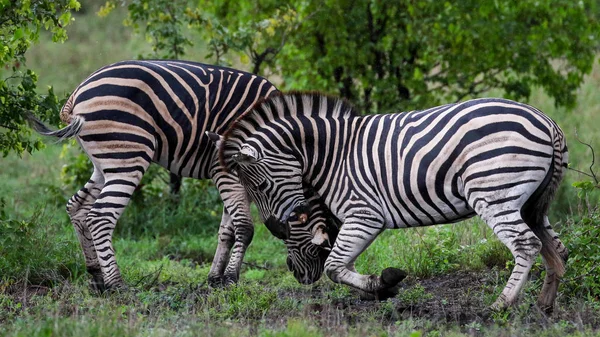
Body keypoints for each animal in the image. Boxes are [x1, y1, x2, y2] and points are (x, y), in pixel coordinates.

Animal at [23, 59, 330, 290]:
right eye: (317, 241)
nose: (309, 279)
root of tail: (78, 91)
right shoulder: (228, 169)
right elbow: (244, 227)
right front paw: (231, 279)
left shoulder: (231, 175)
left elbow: (227, 230)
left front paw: (215, 278)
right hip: (127, 156)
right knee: (100, 216)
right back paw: (116, 285)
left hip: (103, 163)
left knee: (77, 208)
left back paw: (96, 277)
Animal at [210, 91, 568, 310]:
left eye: (261, 186)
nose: (296, 275)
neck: (331, 156)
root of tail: (548, 122)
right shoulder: (362, 221)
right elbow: (344, 266)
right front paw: (379, 289)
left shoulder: (363, 214)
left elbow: (334, 266)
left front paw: (385, 282)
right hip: (533, 204)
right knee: (556, 250)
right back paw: (544, 306)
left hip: (495, 193)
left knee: (526, 245)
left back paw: (500, 305)